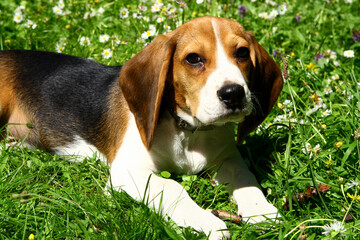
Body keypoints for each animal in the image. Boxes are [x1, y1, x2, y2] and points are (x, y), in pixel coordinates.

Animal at [0, 17, 282, 240]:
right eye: (193, 59)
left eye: (242, 53)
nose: (234, 93)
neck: (186, 131)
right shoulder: (127, 171)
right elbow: (172, 187)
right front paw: (207, 222)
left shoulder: (227, 157)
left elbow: (244, 177)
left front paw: (261, 210)